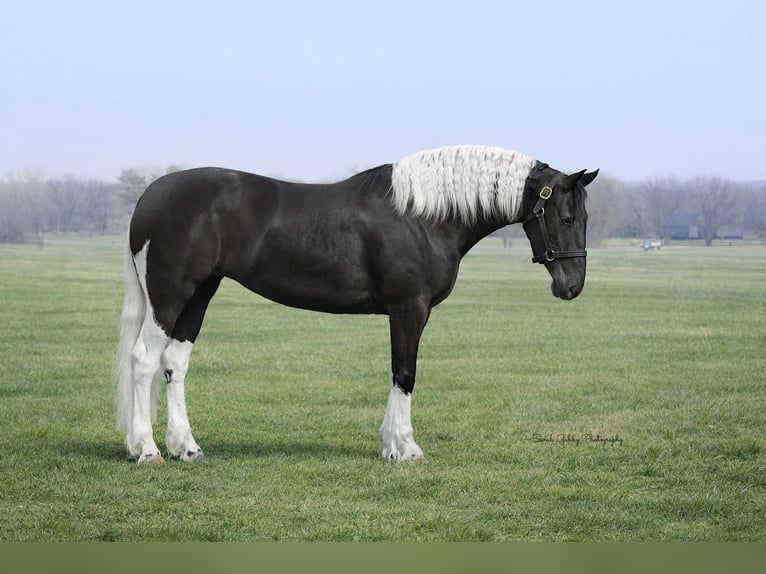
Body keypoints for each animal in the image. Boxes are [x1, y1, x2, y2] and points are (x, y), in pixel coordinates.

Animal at [116, 145, 597, 464]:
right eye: (565, 217)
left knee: (175, 362)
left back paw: (186, 448)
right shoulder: (409, 309)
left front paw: (390, 445)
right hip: (170, 295)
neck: (424, 216)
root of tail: (151, 195)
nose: (572, 286)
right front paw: (405, 448)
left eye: (585, 218)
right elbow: (404, 373)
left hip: (200, 293)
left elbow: (399, 373)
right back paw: (147, 450)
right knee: (144, 360)